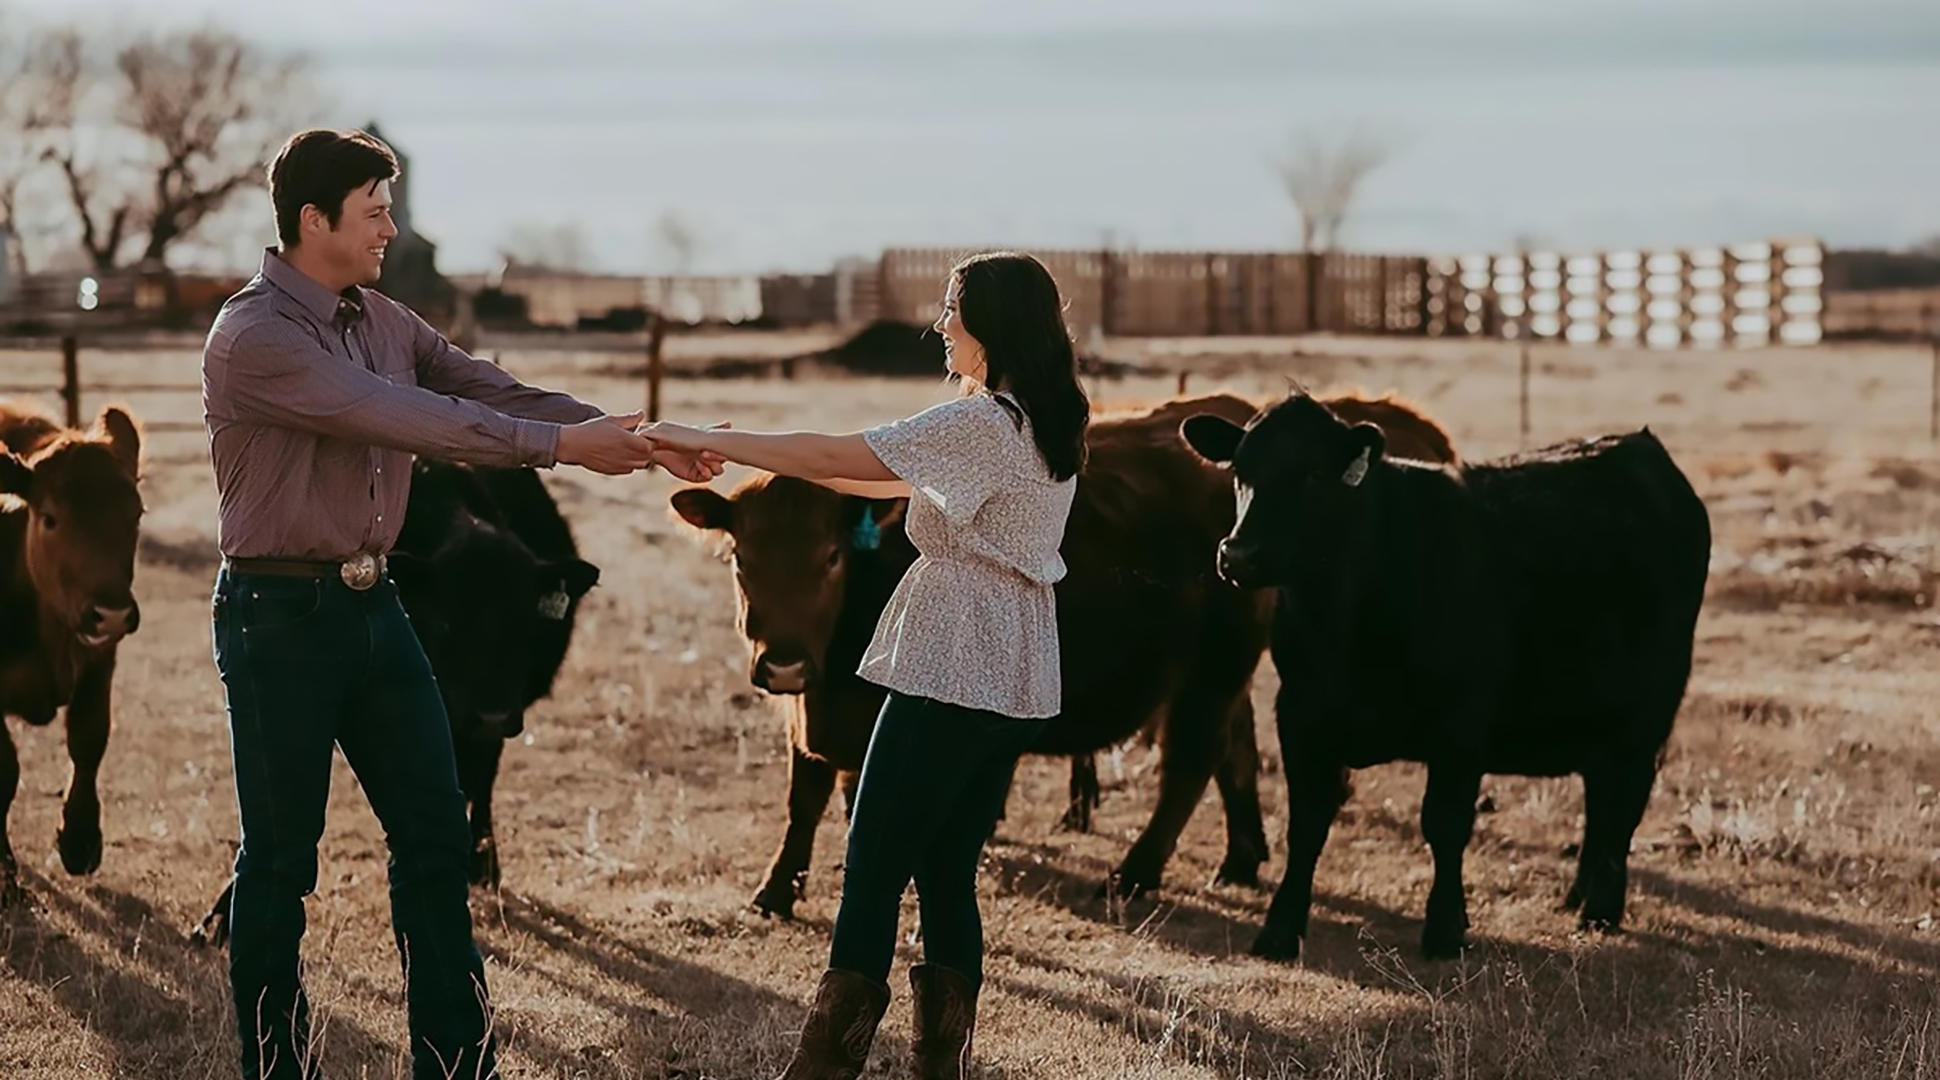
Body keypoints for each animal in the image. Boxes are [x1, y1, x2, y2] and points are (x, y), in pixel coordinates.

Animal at [0, 399, 143, 903]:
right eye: (50, 517)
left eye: (135, 513)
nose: (111, 613)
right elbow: (5, 769)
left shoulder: (100, 662)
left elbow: (89, 739)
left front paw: (80, 839)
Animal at [671, 389, 1458, 919]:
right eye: (741, 559)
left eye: (830, 557)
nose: (782, 664)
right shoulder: (810, 718)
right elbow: (803, 798)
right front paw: (776, 889)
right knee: (1234, 746)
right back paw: (1239, 859)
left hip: (1214, 668)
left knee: (1192, 761)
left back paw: (1137, 873)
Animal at [1179, 389, 1714, 961]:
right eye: (1240, 471)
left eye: (1313, 475)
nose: (1239, 555)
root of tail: (1640, 449)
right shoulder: (1303, 712)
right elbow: (1307, 823)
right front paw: (1278, 932)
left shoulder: (1461, 721)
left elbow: (1445, 823)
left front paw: (1444, 929)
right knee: (1600, 794)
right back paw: (1578, 894)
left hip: (1648, 713)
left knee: (1625, 803)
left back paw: (1601, 908)